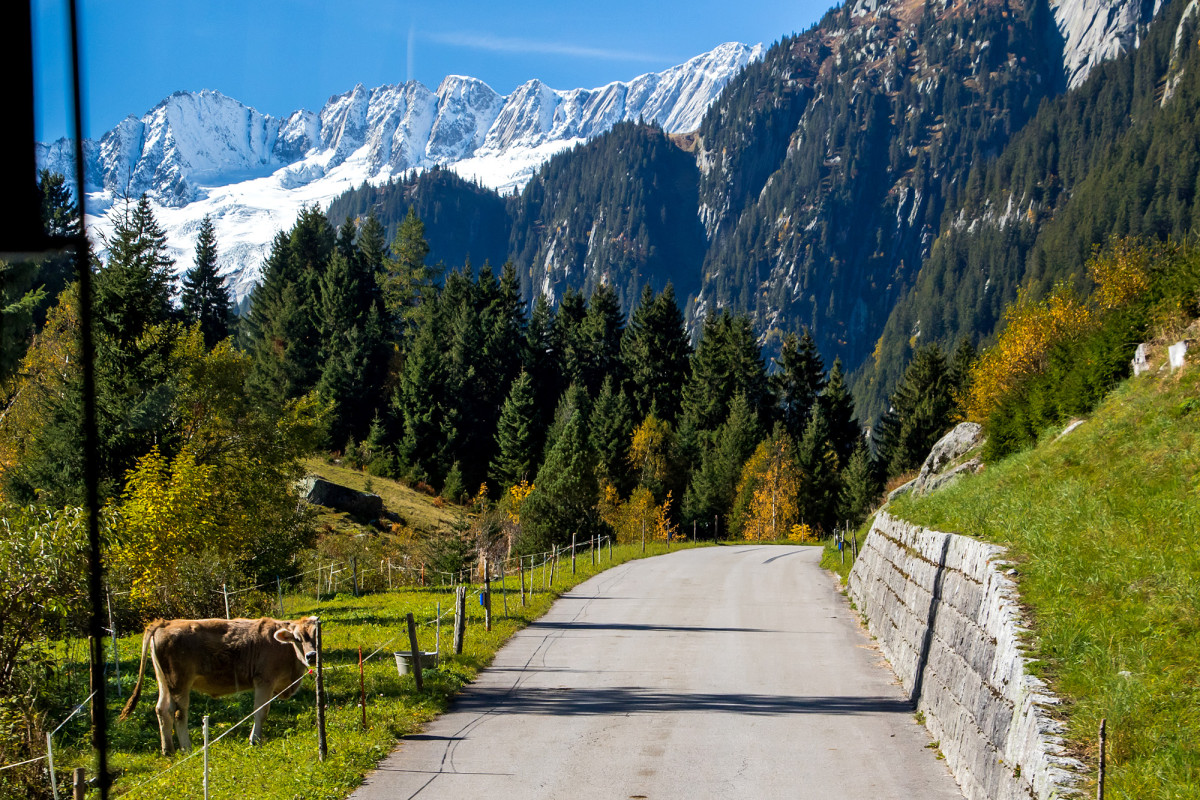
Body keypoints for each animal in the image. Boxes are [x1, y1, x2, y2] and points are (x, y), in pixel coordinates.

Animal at [118, 618, 319, 758]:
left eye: (317, 637)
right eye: (297, 638)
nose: (311, 655)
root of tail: (164, 623)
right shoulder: (264, 680)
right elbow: (261, 711)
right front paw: (255, 740)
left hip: (164, 681)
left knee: (162, 710)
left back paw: (168, 750)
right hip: (180, 681)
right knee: (178, 713)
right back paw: (186, 748)